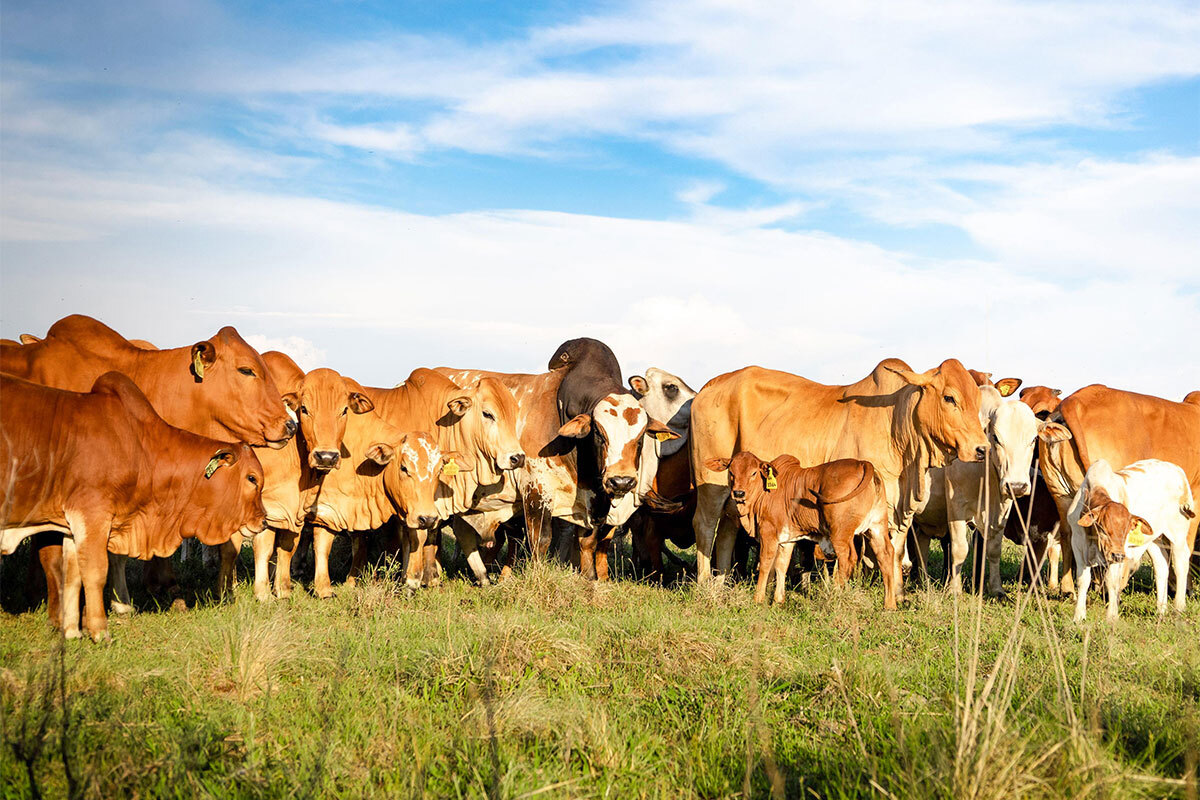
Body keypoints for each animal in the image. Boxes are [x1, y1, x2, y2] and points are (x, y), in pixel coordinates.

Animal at [0, 373, 266, 641]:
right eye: (252, 478)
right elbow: (95, 572)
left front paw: (72, 633)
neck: (140, 446)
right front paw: (100, 631)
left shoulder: (70, 525)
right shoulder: (91, 514)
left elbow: (73, 575)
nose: (264, 520)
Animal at [437, 338, 677, 582]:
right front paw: (537, 576)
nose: (621, 482)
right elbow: (540, 541)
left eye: (641, 437)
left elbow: (588, 542)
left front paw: (590, 579)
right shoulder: (536, 490)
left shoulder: (596, 502)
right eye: (599, 433)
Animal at [690, 359, 989, 591]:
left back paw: (722, 582)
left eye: (978, 400)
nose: (982, 448)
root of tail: (712, 384)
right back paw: (705, 584)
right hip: (712, 484)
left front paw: (899, 594)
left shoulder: (898, 510)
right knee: (704, 525)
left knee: (727, 530)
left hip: (736, 491)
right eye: (949, 397)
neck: (895, 425)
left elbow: (895, 552)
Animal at [707, 452, 897, 609]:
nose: (738, 493)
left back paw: (835, 597)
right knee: (886, 555)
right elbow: (781, 566)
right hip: (876, 527)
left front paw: (758, 599)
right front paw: (778, 600)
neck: (765, 493)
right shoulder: (788, 539)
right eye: (731, 472)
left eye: (753, 473)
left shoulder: (769, 534)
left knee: (848, 558)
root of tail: (862, 463)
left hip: (840, 534)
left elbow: (765, 565)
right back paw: (889, 605)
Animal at [1069, 459, 1196, 622]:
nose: (1118, 555)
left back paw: (1179, 607)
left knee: (1181, 564)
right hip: (1154, 540)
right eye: (1102, 529)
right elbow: (1083, 581)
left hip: (1177, 534)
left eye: (1127, 530)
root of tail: (1177, 470)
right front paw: (1078, 616)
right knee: (1161, 567)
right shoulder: (1077, 543)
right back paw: (1161, 611)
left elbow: (1112, 582)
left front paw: (1111, 617)